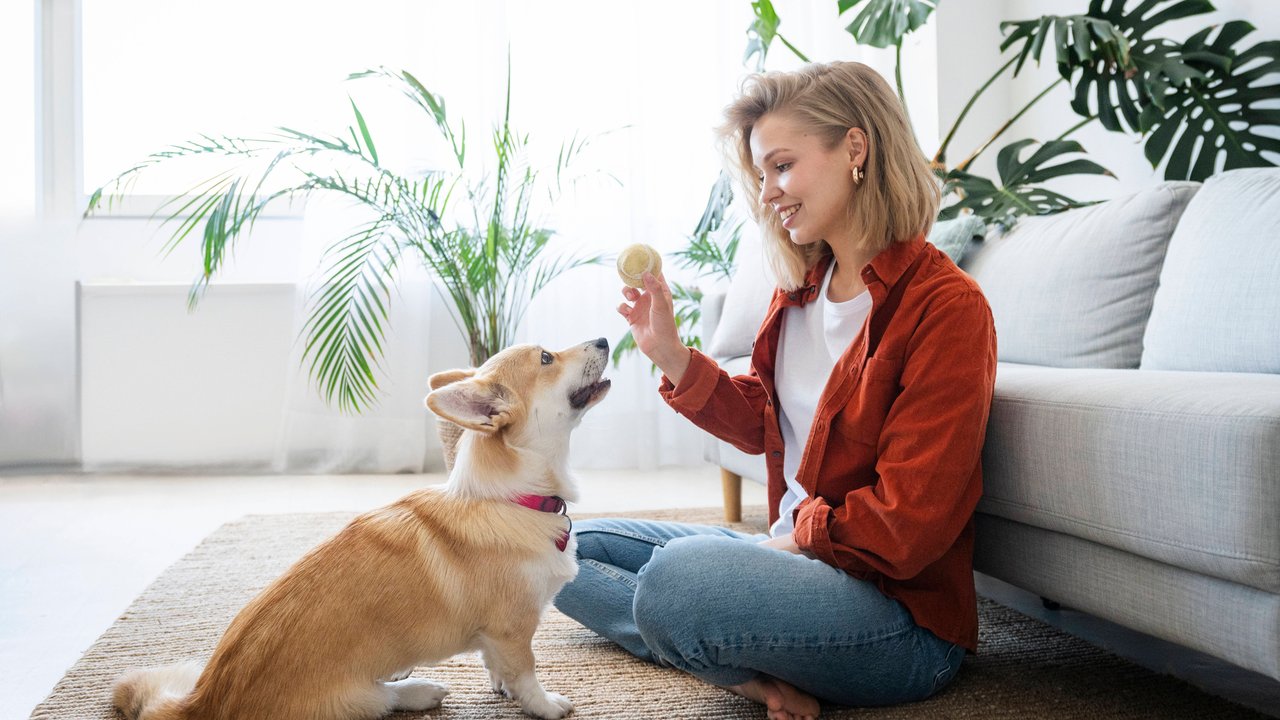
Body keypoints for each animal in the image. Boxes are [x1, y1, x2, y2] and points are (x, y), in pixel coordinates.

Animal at [112, 338, 611, 717]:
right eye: (546, 358)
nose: (606, 339)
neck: (511, 497)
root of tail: (204, 701)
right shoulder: (512, 629)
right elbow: (526, 673)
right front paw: (545, 706)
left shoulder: (496, 638)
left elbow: (498, 667)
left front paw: (501, 686)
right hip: (352, 698)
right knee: (382, 698)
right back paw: (419, 690)